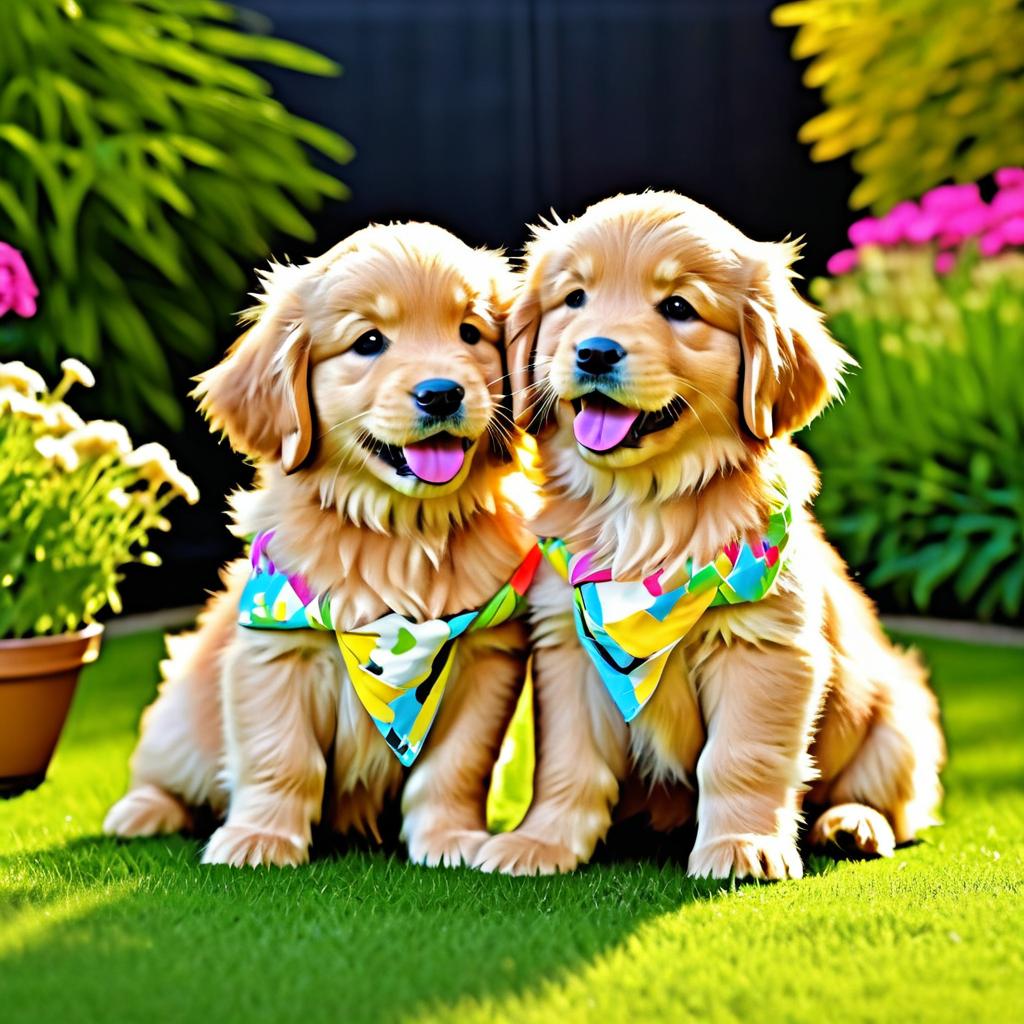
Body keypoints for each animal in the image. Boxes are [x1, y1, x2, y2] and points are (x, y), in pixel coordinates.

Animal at [104, 222, 540, 864]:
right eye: (369, 341)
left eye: (470, 332)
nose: (442, 393)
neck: (400, 534)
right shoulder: (274, 651)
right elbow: (280, 757)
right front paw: (260, 838)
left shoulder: (485, 658)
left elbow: (456, 766)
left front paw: (451, 838)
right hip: (180, 719)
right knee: (163, 771)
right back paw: (142, 811)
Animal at [475, 193, 946, 880]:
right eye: (575, 299)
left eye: (678, 307)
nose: (594, 352)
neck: (645, 509)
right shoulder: (573, 646)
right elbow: (567, 762)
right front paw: (543, 843)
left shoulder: (762, 646)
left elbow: (740, 756)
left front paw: (741, 847)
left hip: (899, 719)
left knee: (892, 801)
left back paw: (852, 823)